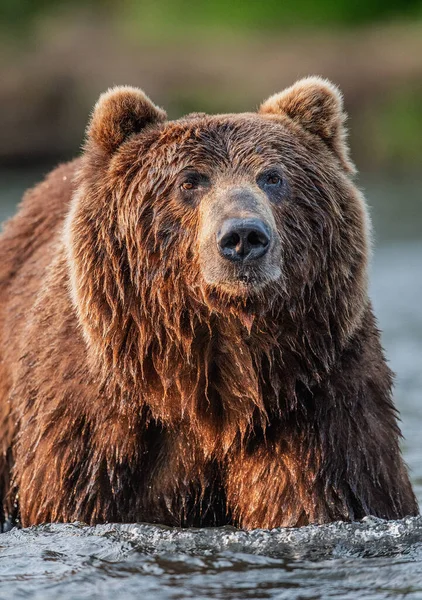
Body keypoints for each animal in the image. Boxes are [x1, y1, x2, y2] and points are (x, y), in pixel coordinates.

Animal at [0, 76, 418, 528]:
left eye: (272, 177)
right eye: (190, 180)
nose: (243, 236)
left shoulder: (315, 397)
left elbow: (328, 490)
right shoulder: (101, 425)